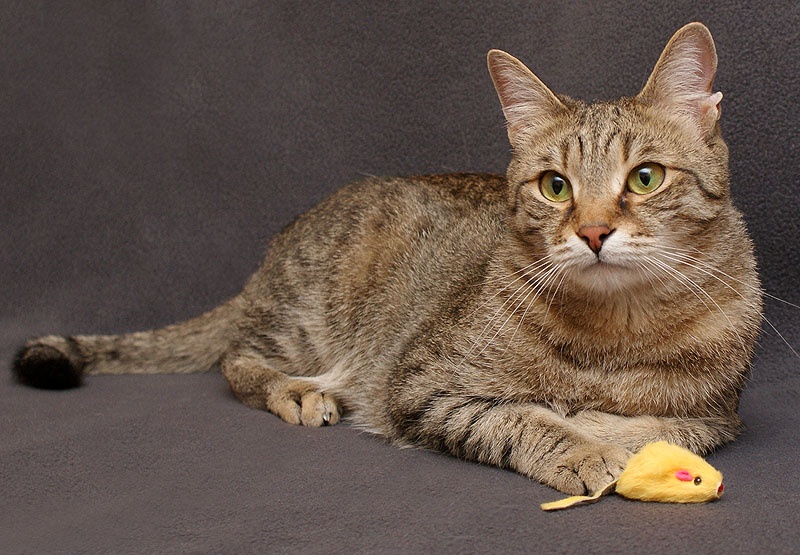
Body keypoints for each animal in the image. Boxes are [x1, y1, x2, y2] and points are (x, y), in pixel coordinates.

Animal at [13, 22, 762, 495]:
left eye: (645, 178)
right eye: (555, 186)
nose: (595, 232)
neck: (613, 333)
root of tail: (280, 244)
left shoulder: (717, 416)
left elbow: (654, 423)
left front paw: (604, 428)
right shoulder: (422, 386)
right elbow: (517, 418)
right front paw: (578, 443)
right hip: (308, 315)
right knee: (238, 357)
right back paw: (297, 391)